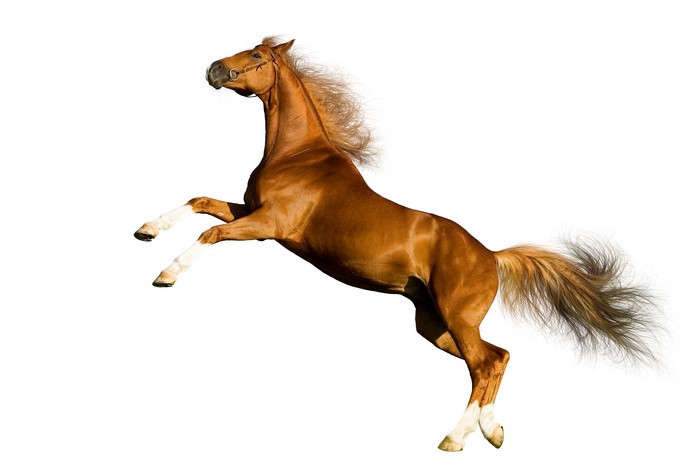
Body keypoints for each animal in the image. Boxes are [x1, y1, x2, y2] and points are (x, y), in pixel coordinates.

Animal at [134, 37, 660, 451]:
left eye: (258, 55)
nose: (213, 69)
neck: (298, 156)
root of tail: (491, 256)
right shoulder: (248, 211)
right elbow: (200, 202)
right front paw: (146, 230)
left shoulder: (268, 225)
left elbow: (210, 232)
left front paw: (165, 275)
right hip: (434, 325)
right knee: (497, 360)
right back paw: (492, 433)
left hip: (456, 318)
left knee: (486, 364)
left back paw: (455, 438)